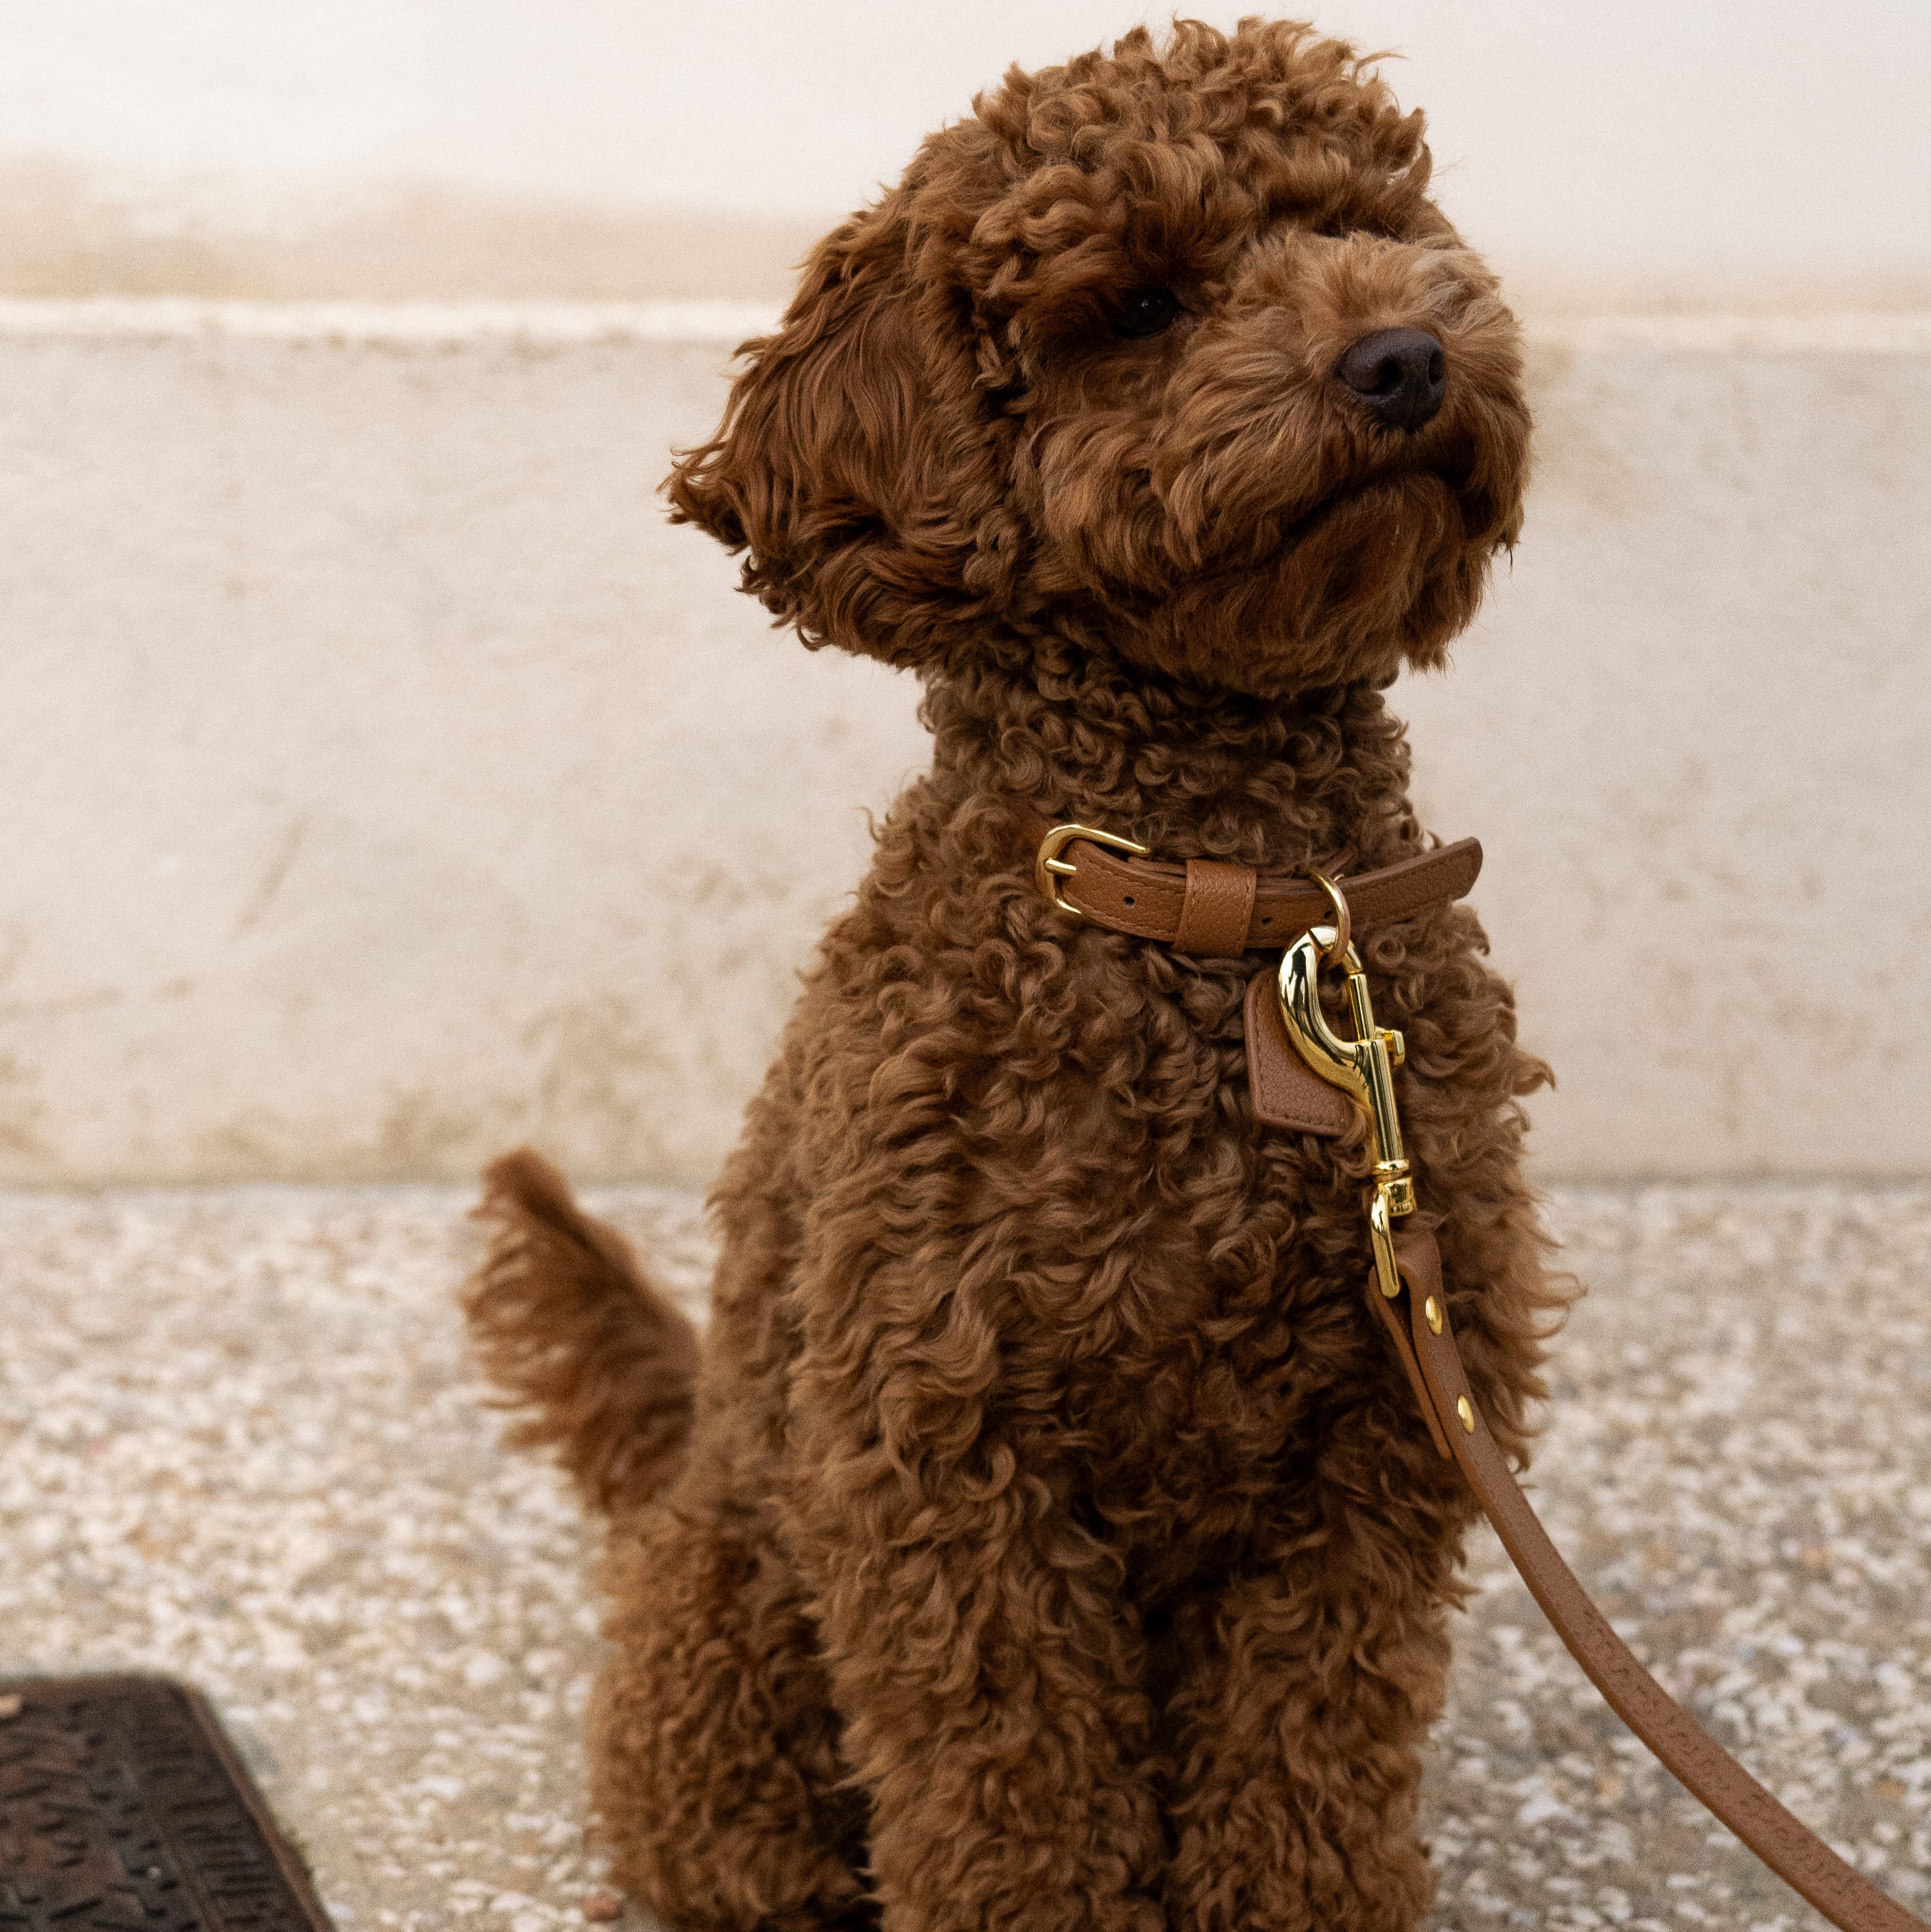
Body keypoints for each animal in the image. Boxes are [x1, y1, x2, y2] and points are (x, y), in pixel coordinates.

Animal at [467, 18, 1568, 1932]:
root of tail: (685, 1459)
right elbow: (1015, 1808)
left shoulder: (1375, 1453)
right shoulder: (949, 1471)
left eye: (1367, 223)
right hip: (735, 1637)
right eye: (1136, 306)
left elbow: (1308, 1777)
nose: (1405, 352)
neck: (1220, 907)